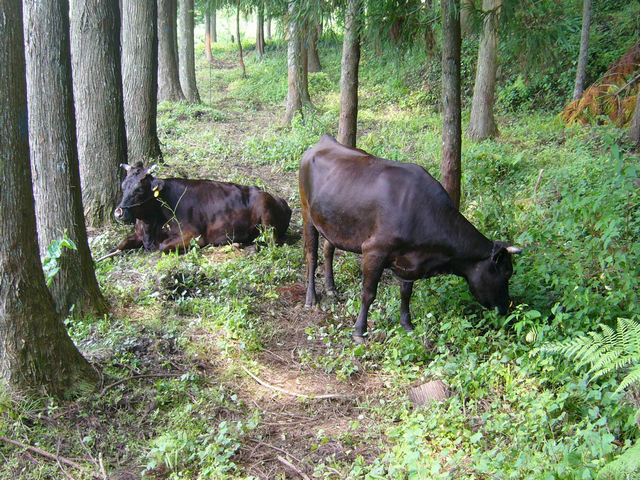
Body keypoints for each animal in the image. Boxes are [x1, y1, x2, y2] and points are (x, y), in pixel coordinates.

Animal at [115, 162, 292, 253]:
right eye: (123, 186)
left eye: (139, 189)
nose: (119, 212)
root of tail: (279, 199)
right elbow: (121, 243)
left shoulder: (194, 234)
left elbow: (163, 246)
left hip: (265, 213)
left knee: (273, 242)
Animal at [298, 135, 520, 344]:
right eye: (506, 273)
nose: (506, 308)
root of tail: (324, 141)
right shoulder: (374, 250)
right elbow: (368, 293)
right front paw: (359, 331)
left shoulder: (408, 261)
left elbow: (406, 293)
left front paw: (407, 324)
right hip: (307, 212)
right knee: (311, 256)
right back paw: (311, 297)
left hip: (332, 221)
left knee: (328, 248)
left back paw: (330, 288)